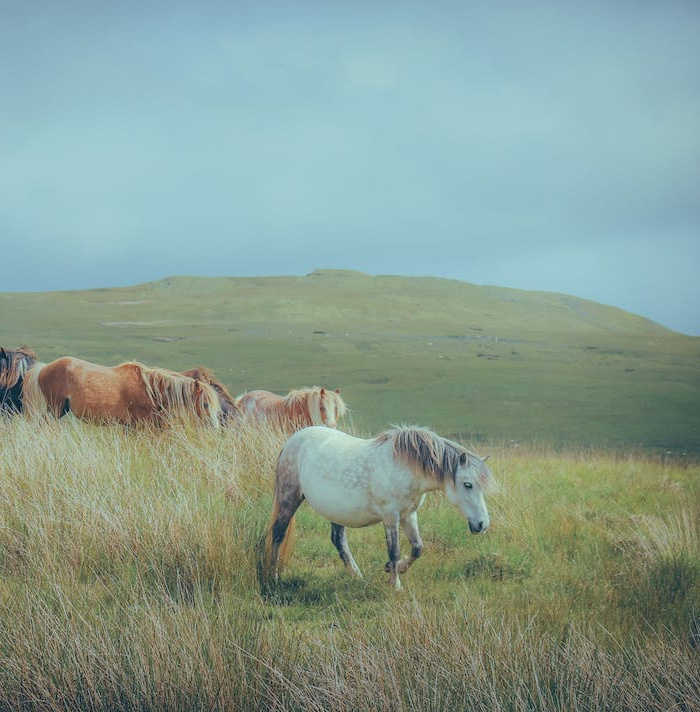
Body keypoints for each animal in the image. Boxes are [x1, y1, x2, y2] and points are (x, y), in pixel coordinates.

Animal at [264, 424, 496, 590]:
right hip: (289, 498)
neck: (405, 466)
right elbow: (394, 550)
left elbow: (417, 548)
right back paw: (273, 577)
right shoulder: (391, 516)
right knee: (278, 533)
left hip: (337, 511)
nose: (482, 524)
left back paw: (356, 576)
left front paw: (395, 569)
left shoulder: (408, 515)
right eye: (468, 484)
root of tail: (291, 442)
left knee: (339, 541)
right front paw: (396, 584)